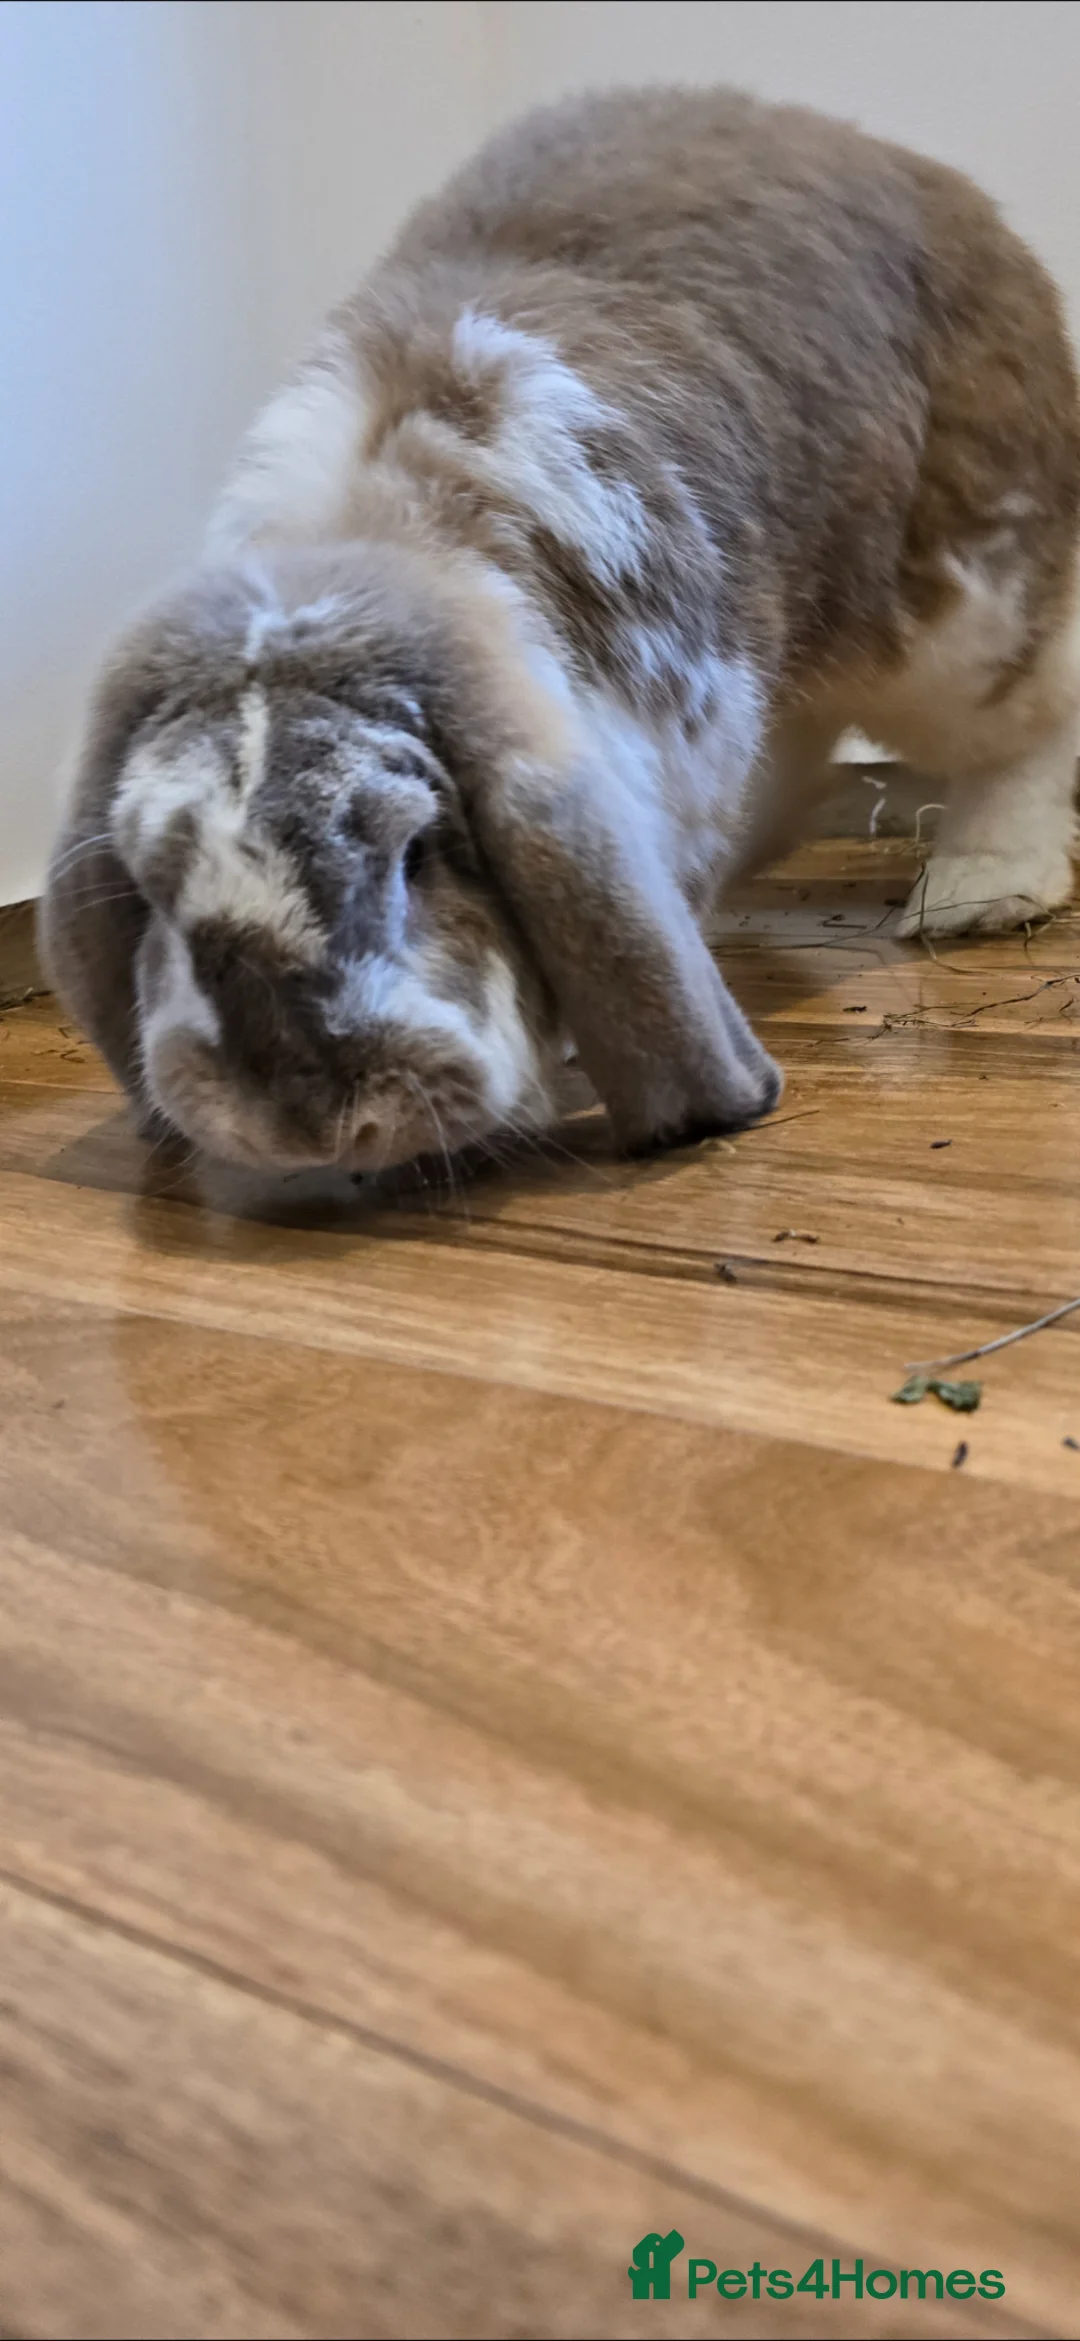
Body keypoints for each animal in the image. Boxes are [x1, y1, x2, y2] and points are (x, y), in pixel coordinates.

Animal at [41, 86, 1080, 1176]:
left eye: (417, 854)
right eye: (155, 886)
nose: (309, 1119)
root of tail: (924, 174)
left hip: (962, 599)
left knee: (1030, 719)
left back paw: (979, 891)